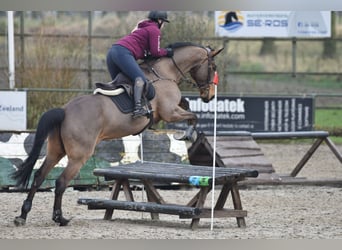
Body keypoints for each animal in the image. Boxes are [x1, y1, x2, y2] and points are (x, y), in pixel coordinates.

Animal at [10, 42, 223, 226]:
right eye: (213, 66)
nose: (209, 96)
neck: (165, 72)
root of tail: (64, 111)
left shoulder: (171, 109)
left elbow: (187, 106)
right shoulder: (169, 112)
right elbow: (193, 116)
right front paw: (187, 135)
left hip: (56, 150)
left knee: (39, 176)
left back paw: (22, 215)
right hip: (79, 156)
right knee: (61, 182)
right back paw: (59, 218)